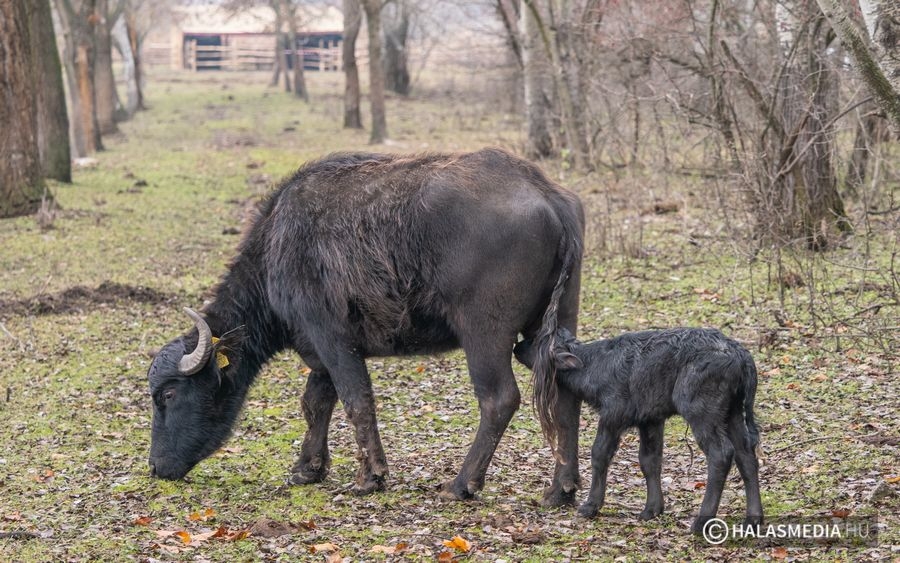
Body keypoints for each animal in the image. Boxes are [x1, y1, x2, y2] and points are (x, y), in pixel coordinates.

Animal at [146, 148, 584, 504]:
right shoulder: (320, 355)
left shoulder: (334, 341)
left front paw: (370, 476)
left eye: (168, 394)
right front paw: (307, 469)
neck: (277, 248)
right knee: (566, 394)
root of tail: (547, 193)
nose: (154, 467)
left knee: (499, 400)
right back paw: (561, 490)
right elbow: (315, 403)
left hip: (485, 336)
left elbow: (356, 401)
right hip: (555, 327)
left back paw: (461, 484)